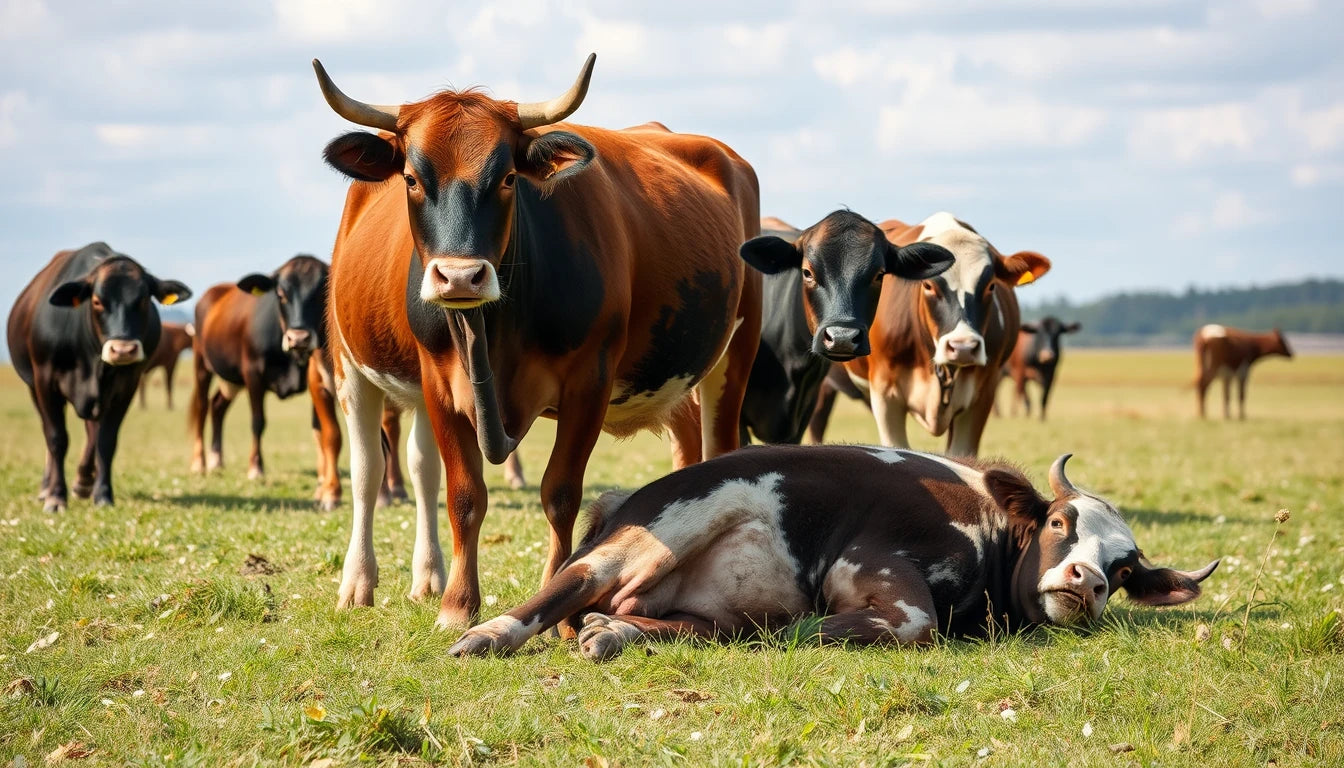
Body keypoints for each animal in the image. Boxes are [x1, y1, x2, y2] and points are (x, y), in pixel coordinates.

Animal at [7, 243, 192, 513]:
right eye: (96, 301)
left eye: (143, 299)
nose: (123, 350)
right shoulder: (45, 381)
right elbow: (57, 438)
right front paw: (56, 496)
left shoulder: (126, 386)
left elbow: (106, 440)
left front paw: (102, 494)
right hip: (35, 387)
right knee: (49, 432)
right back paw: (47, 487)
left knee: (92, 431)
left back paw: (84, 481)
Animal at [307, 54, 763, 632]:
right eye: (411, 178)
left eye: (506, 178)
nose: (460, 277)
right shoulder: (436, 383)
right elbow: (462, 493)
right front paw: (457, 605)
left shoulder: (590, 380)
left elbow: (560, 493)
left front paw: (558, 608)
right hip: (351, 369)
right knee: (374, 473)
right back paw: (364, 584)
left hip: (731, 355)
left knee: (713, 449)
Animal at [451, 451, 1220, 661]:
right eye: (1061, 521)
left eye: (1125, 571)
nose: (1086, 581)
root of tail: (622, 501)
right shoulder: (870, 559)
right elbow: (913, 622)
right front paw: (805, 628)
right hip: (645, 539)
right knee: (568, 585)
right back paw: (485, 635)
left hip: (691, 608)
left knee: (656, 623)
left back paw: (615, 634)